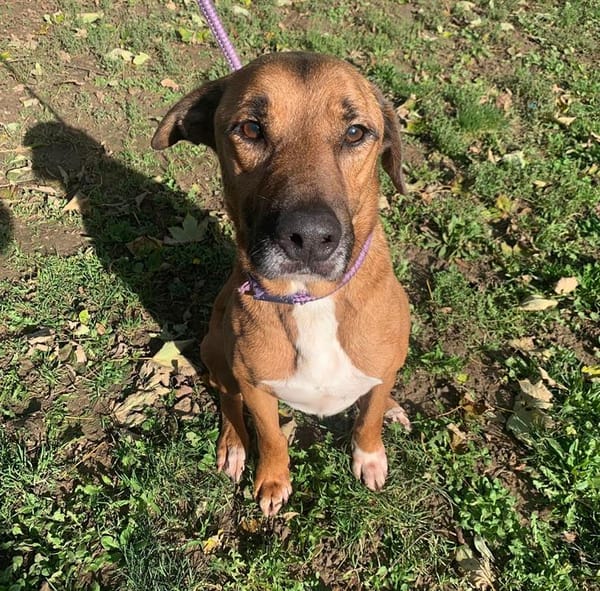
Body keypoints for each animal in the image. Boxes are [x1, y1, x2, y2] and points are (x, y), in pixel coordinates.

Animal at [152, 52, 411, 516]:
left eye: (355, 132)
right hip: (215, 348)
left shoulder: (380, 373)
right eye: (251, 129)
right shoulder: (256, 387)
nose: (309, 236)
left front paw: (370, 454)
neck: (312, 298)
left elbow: (369, 418)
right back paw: (234, 444)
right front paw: (273, 480)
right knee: (229, 400)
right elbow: (271, 436)